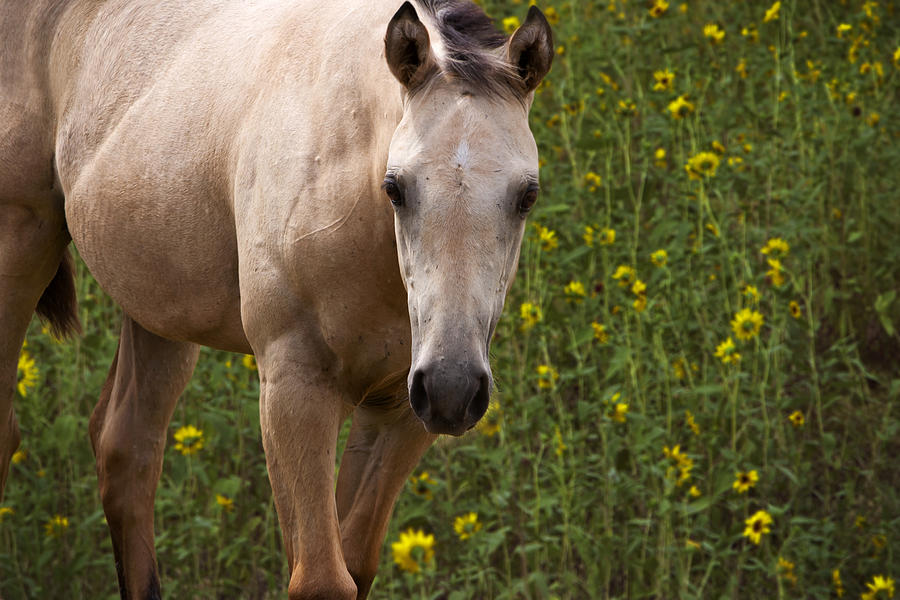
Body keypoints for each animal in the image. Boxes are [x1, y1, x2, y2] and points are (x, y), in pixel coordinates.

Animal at [0, 0, 552, 596]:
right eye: (396, 187)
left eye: (527, 195)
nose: (453, 385)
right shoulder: (295, 387)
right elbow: (321, 578)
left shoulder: (402, 411)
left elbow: (355, 565)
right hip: (19, 247)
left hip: (160, 309)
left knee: (126, 450)